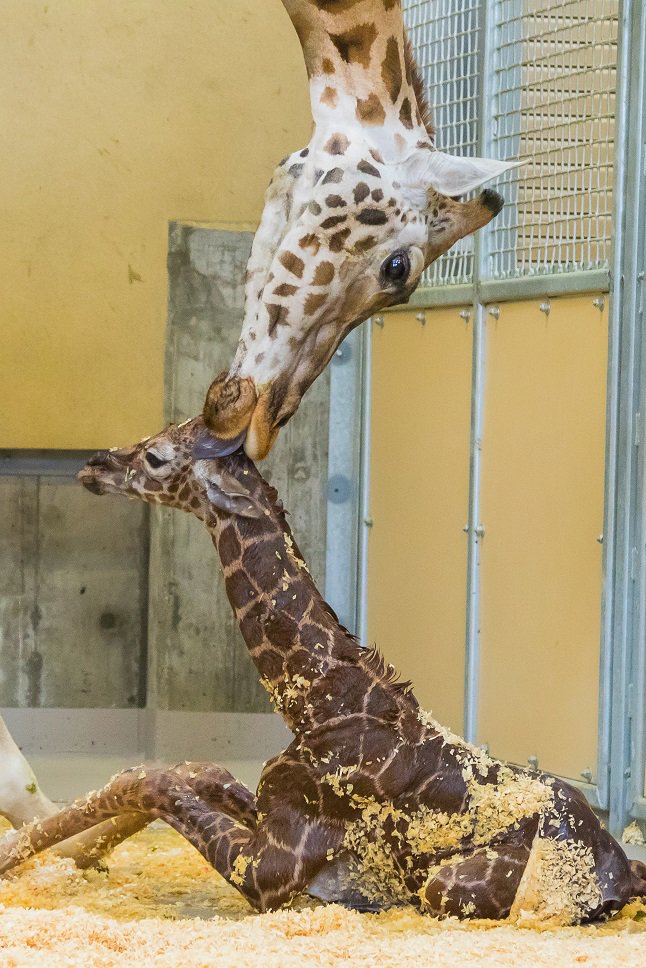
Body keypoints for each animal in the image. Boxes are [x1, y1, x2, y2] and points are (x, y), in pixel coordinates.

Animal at [1, 418, 644, 924]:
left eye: (157, 455)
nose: (94, 464)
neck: (320, 702)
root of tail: (621, 873)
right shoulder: (265, 812)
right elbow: (201, 770)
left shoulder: (270, 868)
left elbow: (149, 780)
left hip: (446, 886)